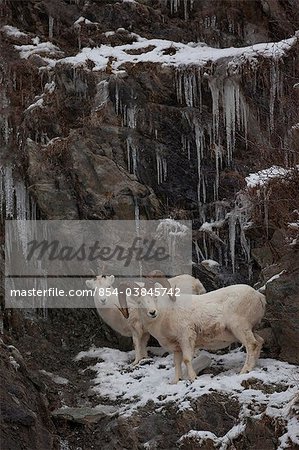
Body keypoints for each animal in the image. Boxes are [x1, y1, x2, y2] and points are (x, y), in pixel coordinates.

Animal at [118, 284, 266, 382]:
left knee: (251, 345)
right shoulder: (176, 347)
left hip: (240, 328)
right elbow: (177, 363)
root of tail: (259, 296)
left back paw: (244, 371)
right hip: (249, 329)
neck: (166, 315)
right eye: (139, 301)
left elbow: (187, 359)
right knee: (259, 342)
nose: (152, 312)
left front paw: (193, 378)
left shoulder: (186, 338)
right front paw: (176, 381)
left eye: (155, 297)